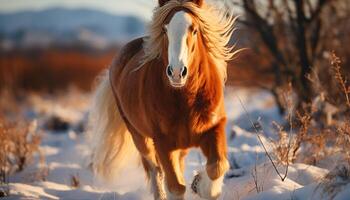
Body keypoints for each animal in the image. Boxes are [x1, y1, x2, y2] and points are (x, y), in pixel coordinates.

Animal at [89, 0, 239, 199]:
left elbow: (218, 167)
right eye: (165, 29)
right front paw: (195, 185)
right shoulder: (163, 142)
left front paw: (199, 185)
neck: (187, 99)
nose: (176, 73)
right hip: (140, 137)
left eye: (194, 30)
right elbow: (175, 187)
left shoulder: (215, 128)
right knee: (156, 171)